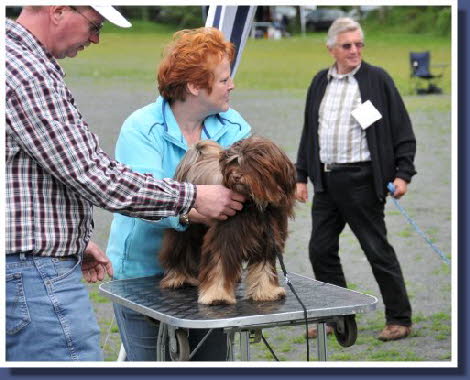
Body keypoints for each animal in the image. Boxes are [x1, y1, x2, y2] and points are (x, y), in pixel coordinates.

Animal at [160, 137, 296, 306]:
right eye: (233, 162)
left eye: (252, 162)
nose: (235, 176)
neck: (254, 204)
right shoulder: (224, 237)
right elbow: (219, 267)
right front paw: (217, 295)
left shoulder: (268, 239)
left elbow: (264, 268)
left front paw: (265, 291)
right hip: (187, 229)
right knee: (179, 250)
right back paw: (179, 277)